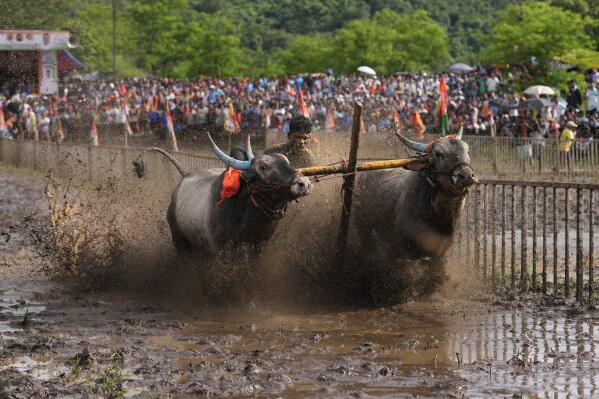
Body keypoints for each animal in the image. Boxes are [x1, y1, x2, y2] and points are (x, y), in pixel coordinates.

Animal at [147, 136, 312, 258]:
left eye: (287, 161)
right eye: (263, 167)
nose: (304, 183)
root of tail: (185, 175)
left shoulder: (258, 248)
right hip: (179, 241)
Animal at [356, 131, 478, 262]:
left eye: (467, 151)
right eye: (438, 154)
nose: (467, 176)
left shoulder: (439, 255)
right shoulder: (399, 251)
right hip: (363, 227)